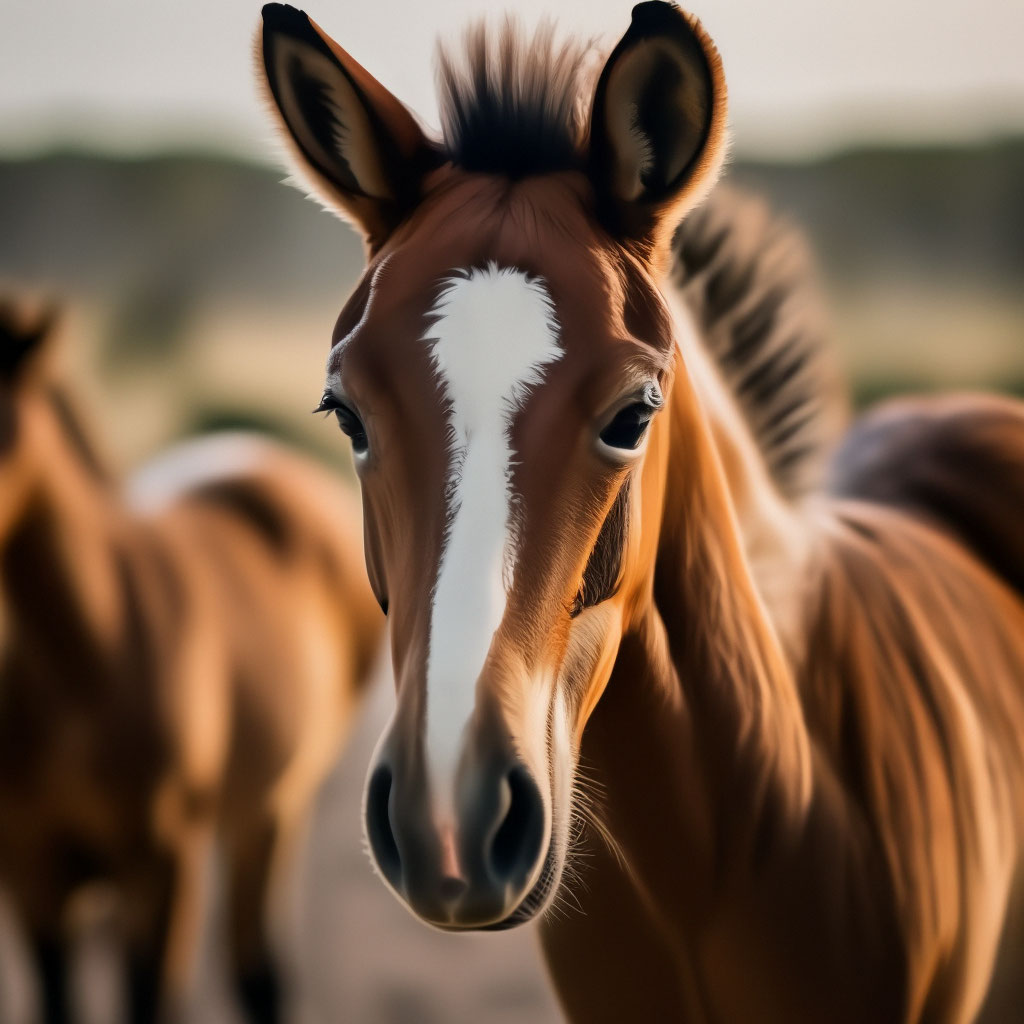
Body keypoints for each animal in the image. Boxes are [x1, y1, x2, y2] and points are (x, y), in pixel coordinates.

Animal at [0, 305, 385, 1024]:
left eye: (5, 426)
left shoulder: (164, 868)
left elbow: (152, 1001)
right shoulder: (33, 874)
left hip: (271, 809)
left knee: (259, 975)